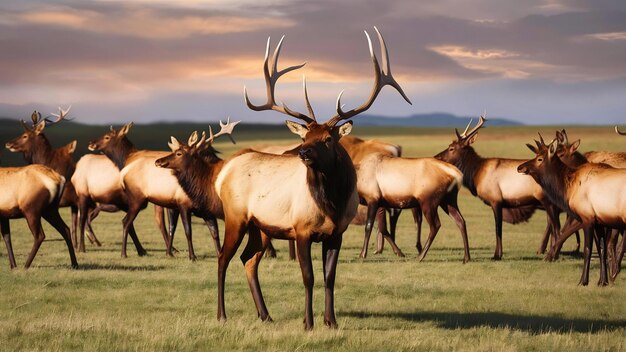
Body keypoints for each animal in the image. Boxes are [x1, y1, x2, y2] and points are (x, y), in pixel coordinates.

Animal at [86, 123, 223, 258]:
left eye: (107, 137)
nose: (91, 143)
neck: (126, 159)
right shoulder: (176, 204)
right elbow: (178, 228)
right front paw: (179, 253)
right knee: (126, 221)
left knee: (125, 221)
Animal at [212, 28, 412, 330]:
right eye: (305, 136)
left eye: (328, 138)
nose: (303, 152)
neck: (331, 205)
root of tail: (223, 173)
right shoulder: (302, 230)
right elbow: (309, 277)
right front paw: (308, 323)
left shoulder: (337, 233)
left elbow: (329, 277)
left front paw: (331, 321)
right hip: (235, 217)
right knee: (224, 258)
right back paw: (221, 314)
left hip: (260, 226)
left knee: (249, 259)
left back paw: (266, 315)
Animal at [432, 117, 560, 260]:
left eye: (451, 148)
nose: (436, 157)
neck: (476, 174)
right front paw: (498, 254)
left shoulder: (495, 200)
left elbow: (498, 228)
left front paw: (497, 255)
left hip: (547, 201)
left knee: (556, 227)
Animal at [516, 140, 624, 286]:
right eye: (535, 155)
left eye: (540, 158)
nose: (520, 167)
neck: (569, 188)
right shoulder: (599, 221)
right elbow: (602, 249)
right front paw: (602, 282)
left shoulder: (587, 218)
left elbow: (587, 249)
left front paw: (583, 281)